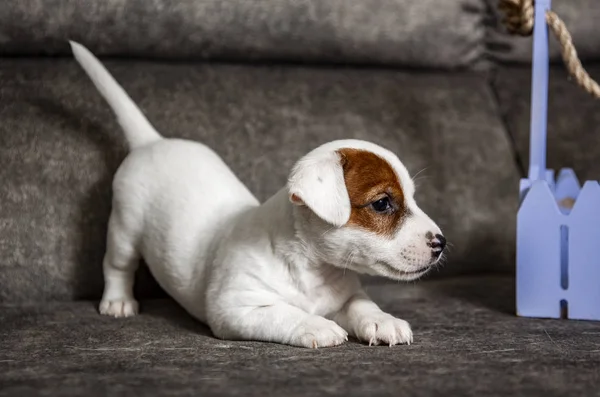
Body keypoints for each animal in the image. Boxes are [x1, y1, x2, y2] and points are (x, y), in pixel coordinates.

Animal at [70, 41, 446, 346]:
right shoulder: (237, 307)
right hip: (125, 227)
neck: (312, 269)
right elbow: (285, 313)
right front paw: (317, 325)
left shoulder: (347, 295)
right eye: (382, 203)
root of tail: (152, 141)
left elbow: (362, 304)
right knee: (117, 264)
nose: (441, 243)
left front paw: (383, 320)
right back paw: (118, 302)